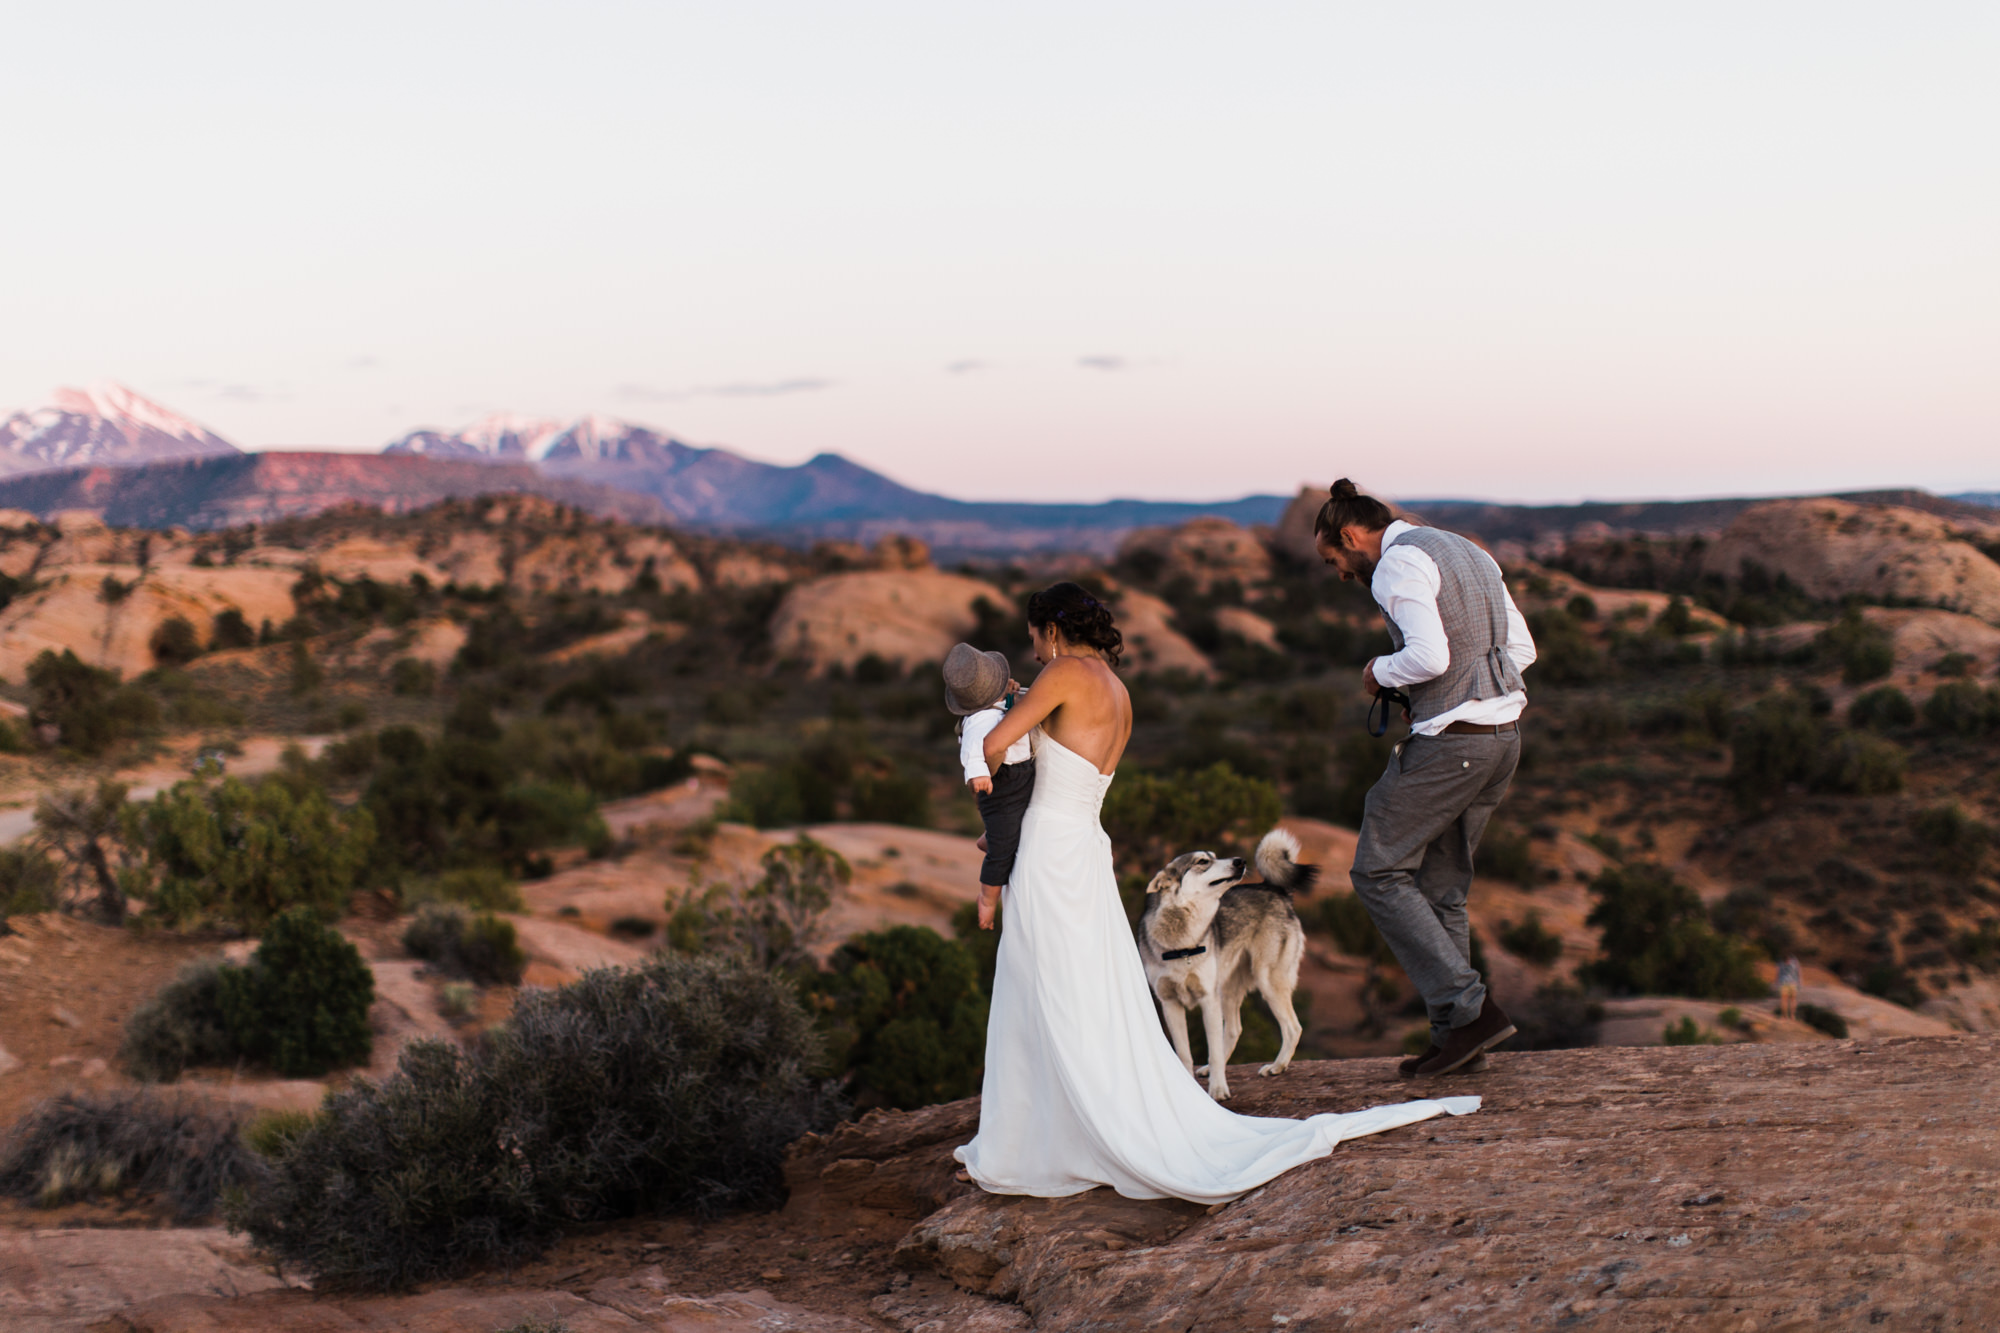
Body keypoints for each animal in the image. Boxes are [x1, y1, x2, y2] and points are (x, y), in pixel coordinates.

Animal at [1144, 824, 1312, 1096]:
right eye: (1203, 861)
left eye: (1215, 856)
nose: (1239, 861)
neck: (1182, 945)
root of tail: (1273, 888)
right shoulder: (1170, 1003)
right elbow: (1184, 1054)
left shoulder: (1207, 999)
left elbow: (1212, 1050)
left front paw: (1218, 1090)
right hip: (1228, 988)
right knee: (1234, 1029)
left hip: (1267, 980)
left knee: (1292, 1027)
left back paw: (1276, 1066)